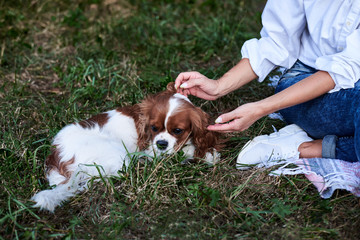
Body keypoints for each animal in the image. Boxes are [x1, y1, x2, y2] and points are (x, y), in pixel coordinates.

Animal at [31, 83, 222, 212]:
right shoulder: (151, 150)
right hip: (117, 155)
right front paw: (207, 155)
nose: (161, 144)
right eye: (154, 128)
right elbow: (182, 152)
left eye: (177, 131)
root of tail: (55, 155)